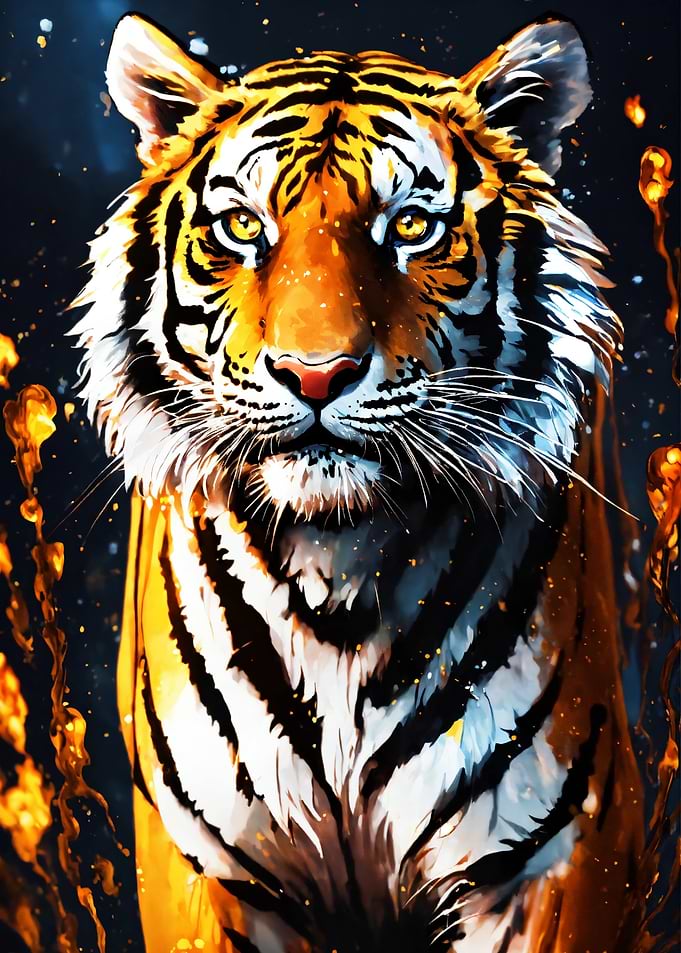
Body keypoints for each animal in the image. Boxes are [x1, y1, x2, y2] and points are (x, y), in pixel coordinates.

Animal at [71, 11, 645, 953]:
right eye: (242, 225)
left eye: (410, 226)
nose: (316, 373)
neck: (335, 567)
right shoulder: (208, 867)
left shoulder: (552, 859)